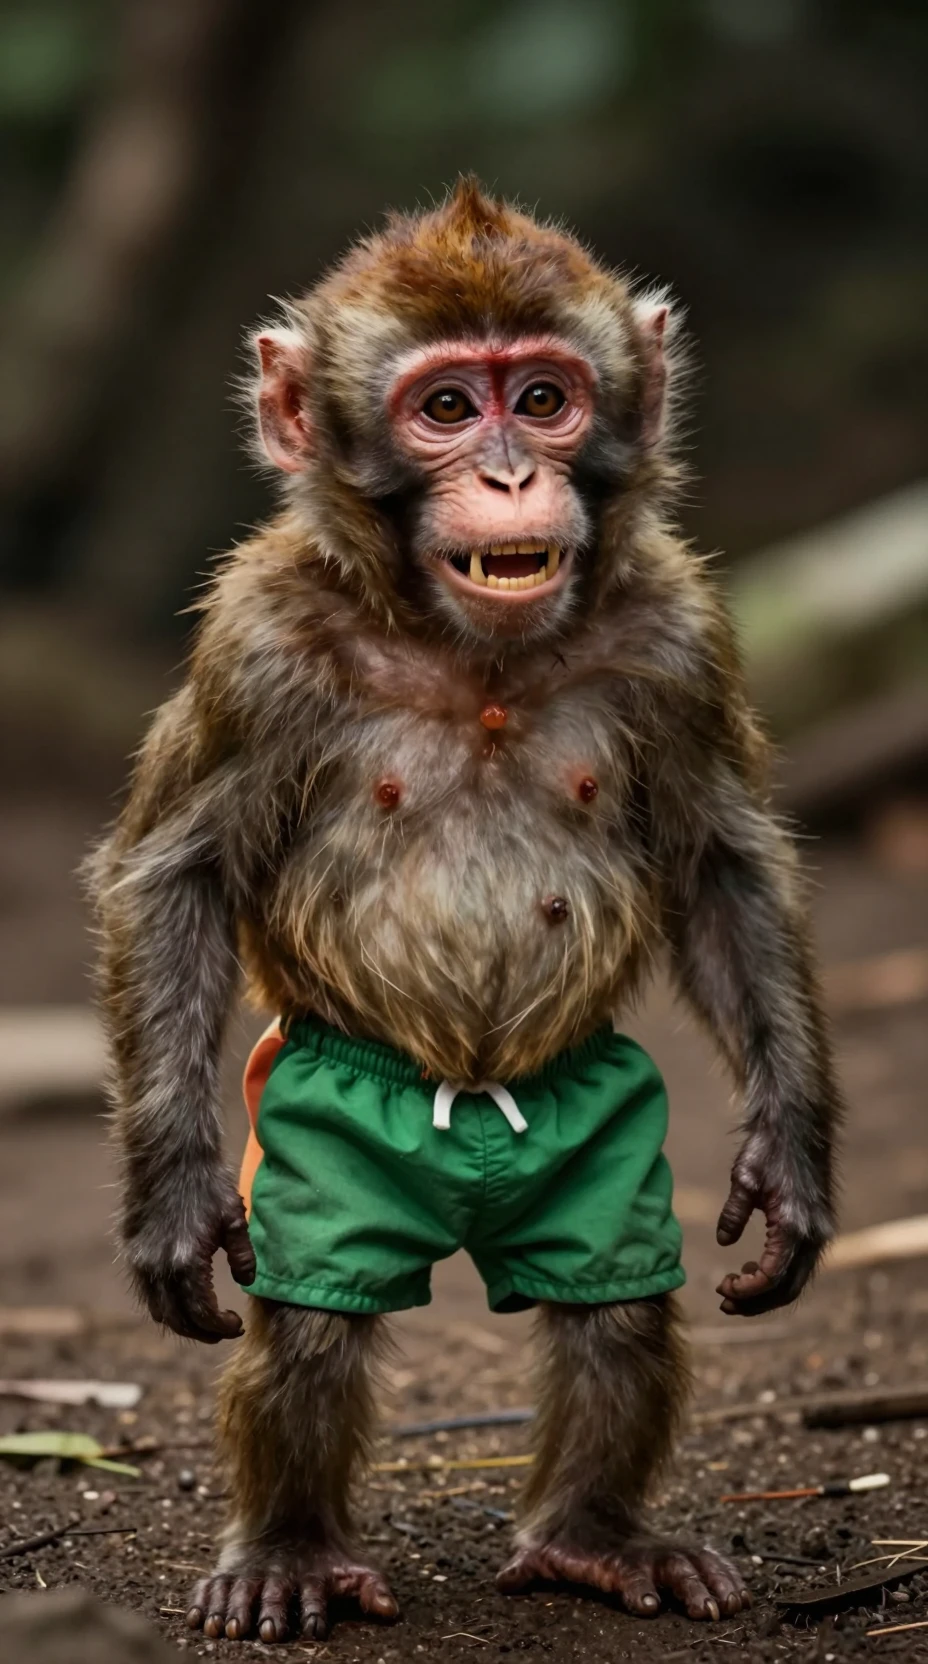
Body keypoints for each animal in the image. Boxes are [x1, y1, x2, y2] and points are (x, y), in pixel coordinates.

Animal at [89, 178, 841, 1644]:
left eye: (542, 397)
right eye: (446, 408)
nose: (504, 476)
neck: (461, 642)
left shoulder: (678, 631)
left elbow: (722, 866)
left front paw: (788, 1161)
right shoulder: (256, 640)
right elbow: (177, 876)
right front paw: (175, 1203)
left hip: (589, 1128)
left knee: (616, 1317)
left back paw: (591, 1537)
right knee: (311, 1333)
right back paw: (292, 1552)